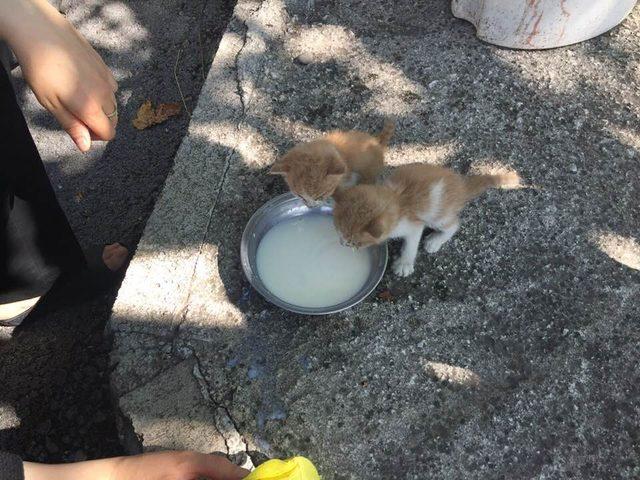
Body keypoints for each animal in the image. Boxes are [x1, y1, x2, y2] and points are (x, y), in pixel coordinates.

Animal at [332, 164, 524, 278]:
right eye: (338, 232)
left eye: (355, 242)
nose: (342, 243)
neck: (396, 199)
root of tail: (461, 186)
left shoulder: (414, 225)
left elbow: (411, 244)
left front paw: (404, 263)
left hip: (438, 216)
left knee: (454, 225)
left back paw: (435, 241)